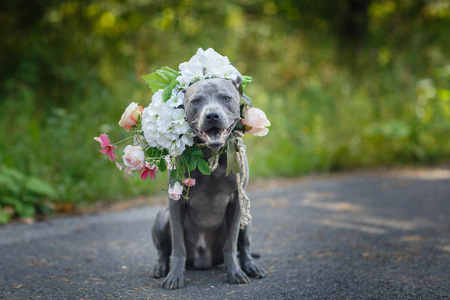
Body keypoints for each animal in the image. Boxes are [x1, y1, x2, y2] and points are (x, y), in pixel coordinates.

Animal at [152, 77, 264, 288]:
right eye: (196, 101)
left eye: (226, 98)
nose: (212, 115)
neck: (211, 154)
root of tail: (204, 261)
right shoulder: (175, 202)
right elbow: (178, 245)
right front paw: (175, 275)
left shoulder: (236, 201)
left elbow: (231, 243)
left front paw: (235, 272)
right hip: (162, 216)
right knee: (163, 251)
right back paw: (161, 267)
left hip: (246, 219)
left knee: (244, 247)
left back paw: (249, 266)